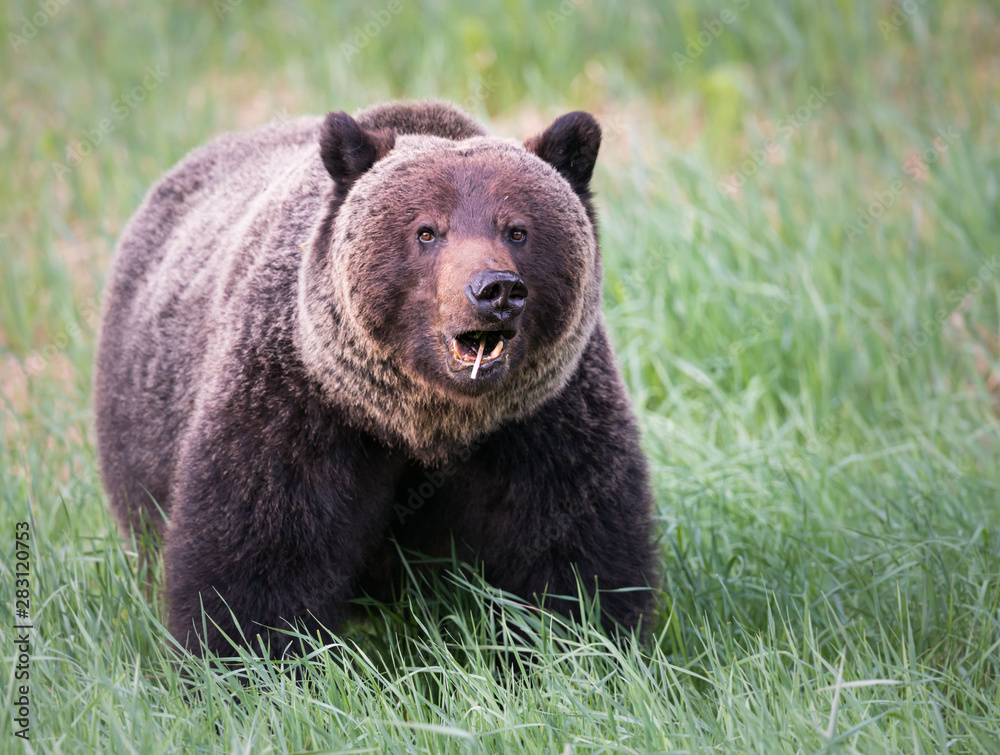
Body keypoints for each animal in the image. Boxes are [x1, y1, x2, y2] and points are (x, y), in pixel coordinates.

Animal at [93, 100, 658, 658]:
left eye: (516, 229)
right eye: (427, 231)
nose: (495, 290)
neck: (424, 422)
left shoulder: (544, 421)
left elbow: (573, 549)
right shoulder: (295, 406)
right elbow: (256, 560)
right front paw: (245, 659)